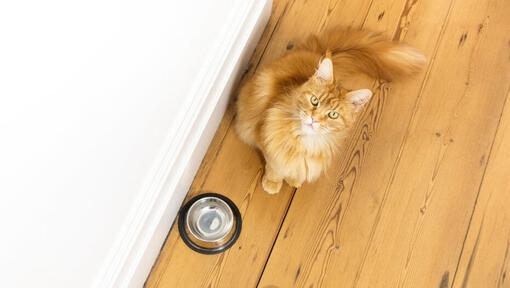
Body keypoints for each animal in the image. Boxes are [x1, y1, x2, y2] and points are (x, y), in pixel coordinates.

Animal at [235, 27, 426, 194]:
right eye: (315, 101)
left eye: (332, 114)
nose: (314, 119)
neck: (306, 142)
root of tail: (319, 52)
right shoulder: (268, 144)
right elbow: (275, 167)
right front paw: (272, 183)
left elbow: (295, 170)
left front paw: (294, 179)